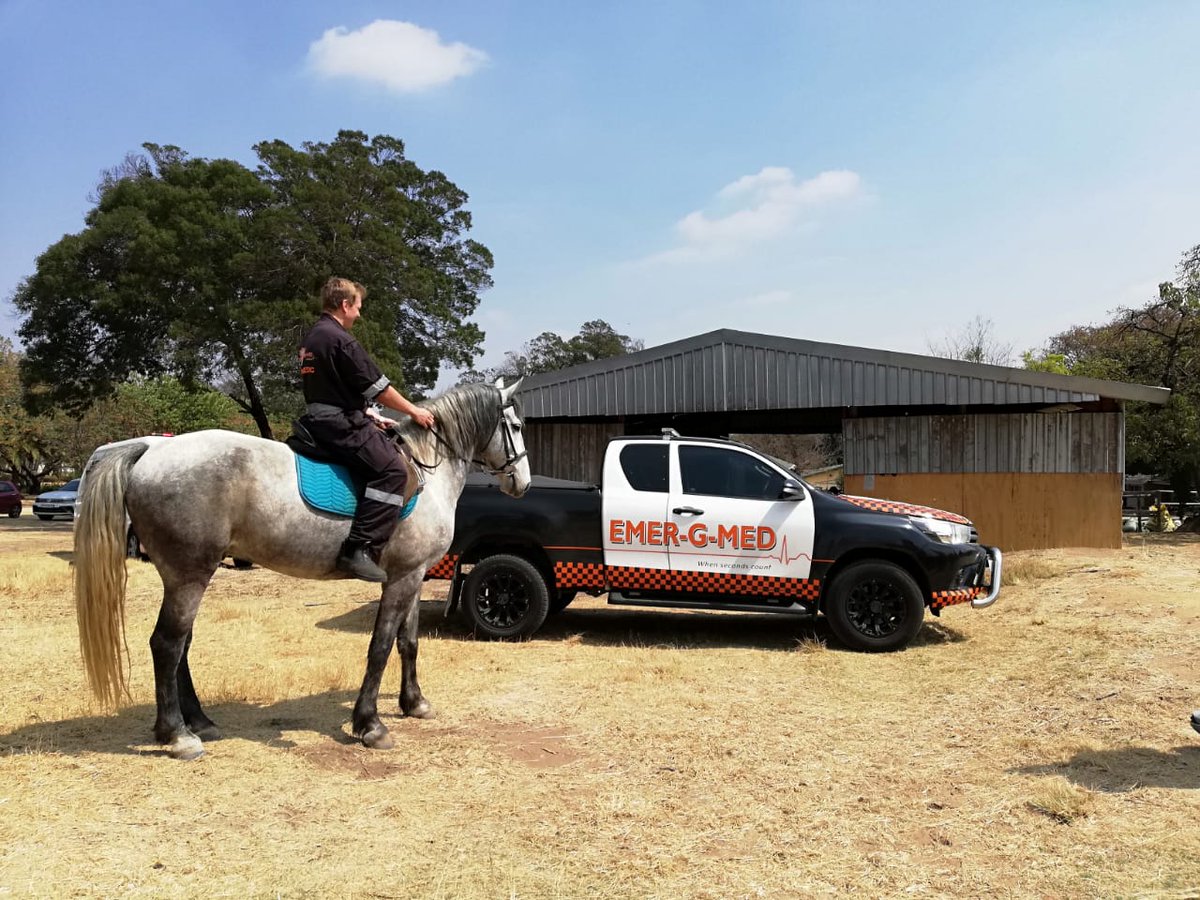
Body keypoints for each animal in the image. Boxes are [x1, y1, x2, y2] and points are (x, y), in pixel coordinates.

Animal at [74, 378, 530, 760]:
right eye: (517, 425)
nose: (522, 483)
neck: (425, 466)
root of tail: (152, 450)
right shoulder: (401, 579)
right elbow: (380, 646)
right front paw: (370, 724)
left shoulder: (413, 576)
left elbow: (408, 643)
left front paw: (414, 703)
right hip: (189, 575)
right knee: (166, 645)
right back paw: (177, 735)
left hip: (184, 576)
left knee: (180, 644)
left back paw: (199, 722)